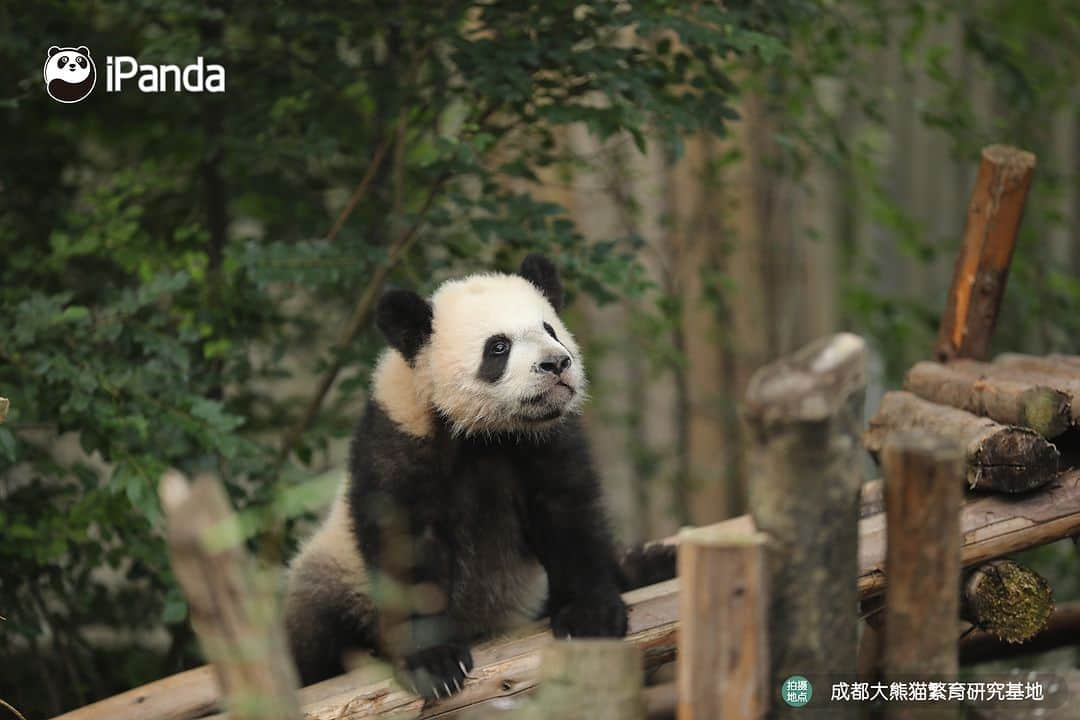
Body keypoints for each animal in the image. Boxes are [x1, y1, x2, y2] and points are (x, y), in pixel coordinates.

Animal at [287, 253, 673, 699]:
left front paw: (589, 614)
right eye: (498, 347)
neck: (484, 431)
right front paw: (434, 662)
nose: (557, 364)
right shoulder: (401, 437)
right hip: (333, 572)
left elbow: (567, 516)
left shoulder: (543, 440)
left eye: (550, 329)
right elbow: (406, 546)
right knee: (311, 630)